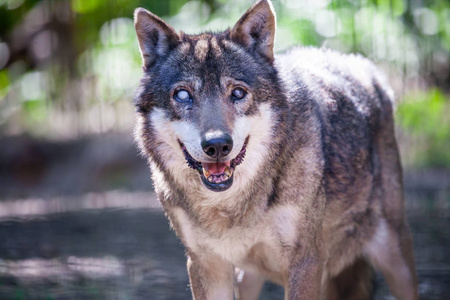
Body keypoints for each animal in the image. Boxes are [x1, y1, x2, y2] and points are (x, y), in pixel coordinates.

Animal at [132, 0, 416, 298]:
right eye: (183, 94)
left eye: (238, 93)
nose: (218, 145)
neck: (229, 206)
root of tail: (362, 65)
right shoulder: (206, 264)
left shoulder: (306, 261)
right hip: (249, 277)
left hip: (396, 259)